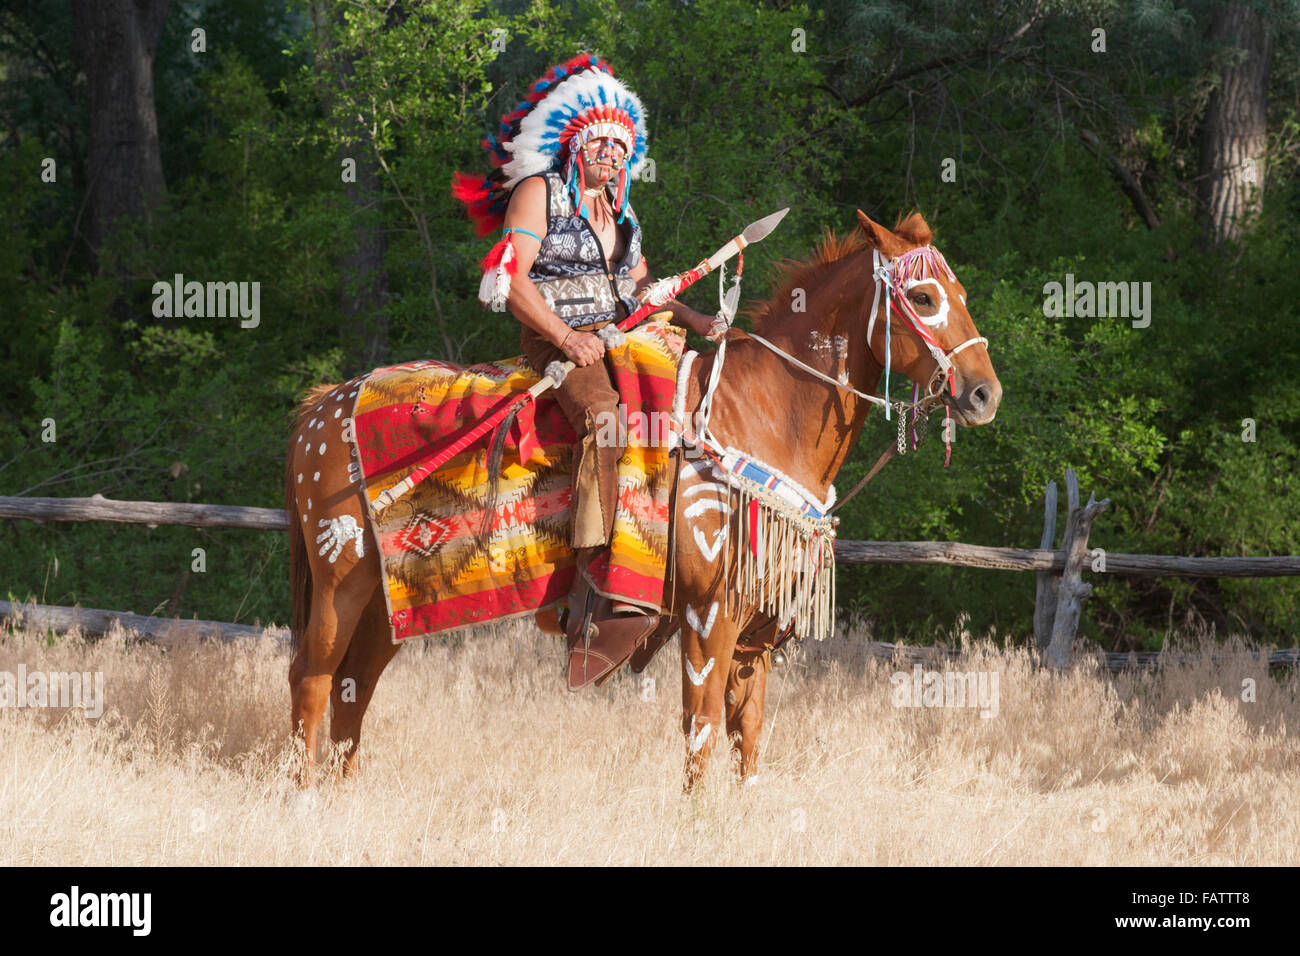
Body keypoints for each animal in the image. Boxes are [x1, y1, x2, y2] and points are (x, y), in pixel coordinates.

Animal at [285, 209, 1001, 789]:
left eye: (960, 294)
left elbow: (748, 737)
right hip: (341, 584)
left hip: (390, 603)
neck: (759, 415)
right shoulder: (709, 616)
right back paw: (300, 795)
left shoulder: (755, 634)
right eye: (923, 297)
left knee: (354, 689)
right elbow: (702, 732)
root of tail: (322, 406)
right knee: (312, 680)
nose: (984, 393)